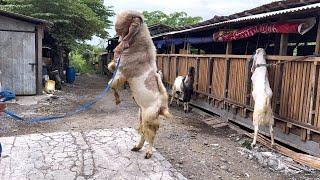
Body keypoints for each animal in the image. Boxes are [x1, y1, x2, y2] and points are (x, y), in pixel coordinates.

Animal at [107, 10, 170, 159]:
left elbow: (112, 83)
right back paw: (137, 147)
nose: (116, 28)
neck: (139, 44)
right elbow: (110, 69)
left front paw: (117, 99)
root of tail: (161, 106)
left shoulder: (122, 71)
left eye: (128, 18)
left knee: (151, 135)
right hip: (141, 115)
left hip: (148, 117)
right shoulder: (118, 67)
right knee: (143, 132)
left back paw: (148, 152)